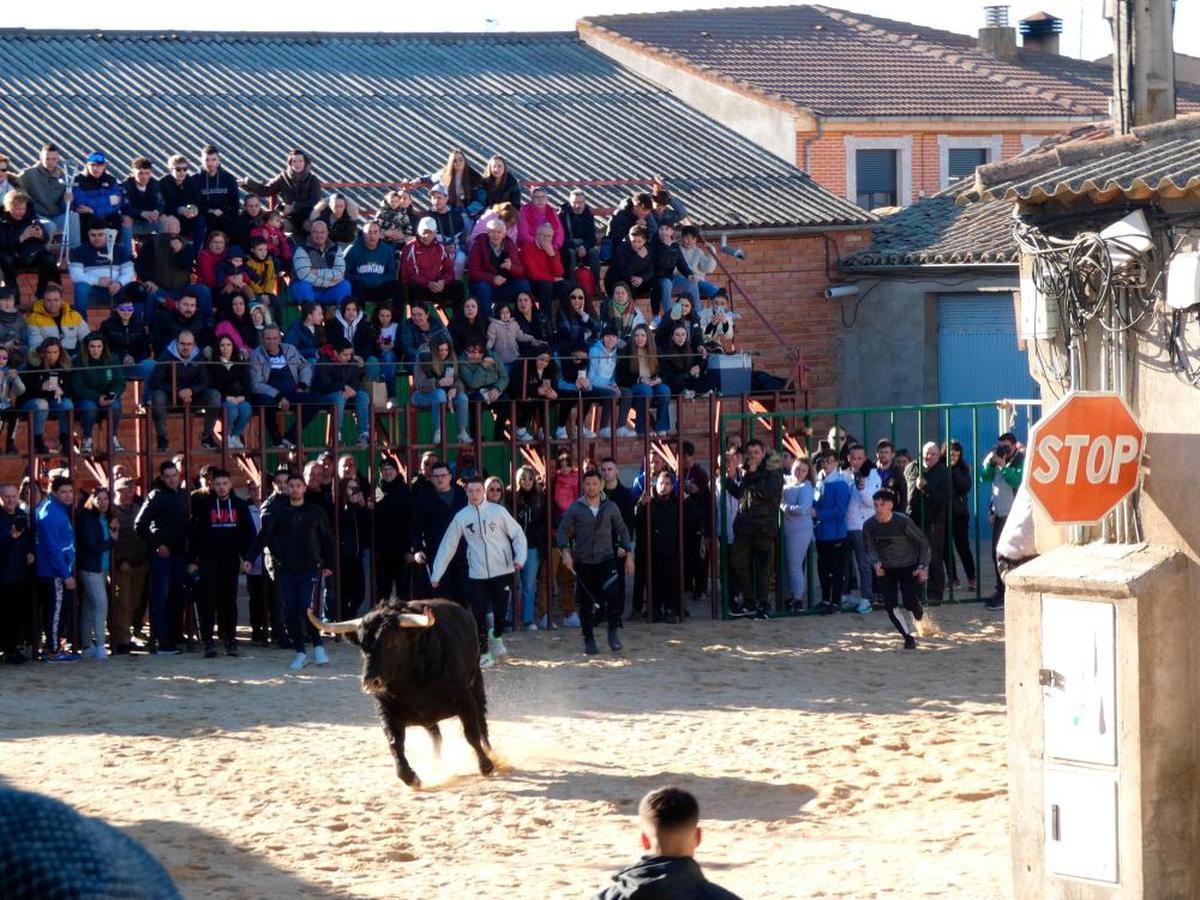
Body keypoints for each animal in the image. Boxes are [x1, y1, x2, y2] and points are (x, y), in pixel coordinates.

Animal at [314, 600, 496, 787]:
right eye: (362, 646)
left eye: (391, 642)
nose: (370, 682)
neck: (413, 683)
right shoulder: (386, 712)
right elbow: (394, 744)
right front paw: (411, 777)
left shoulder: (464, 700)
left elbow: (471, 733)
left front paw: (486, 765)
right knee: (436, 735)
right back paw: (436, 764)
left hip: (476, 683)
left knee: (481, 721)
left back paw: (489, 751)